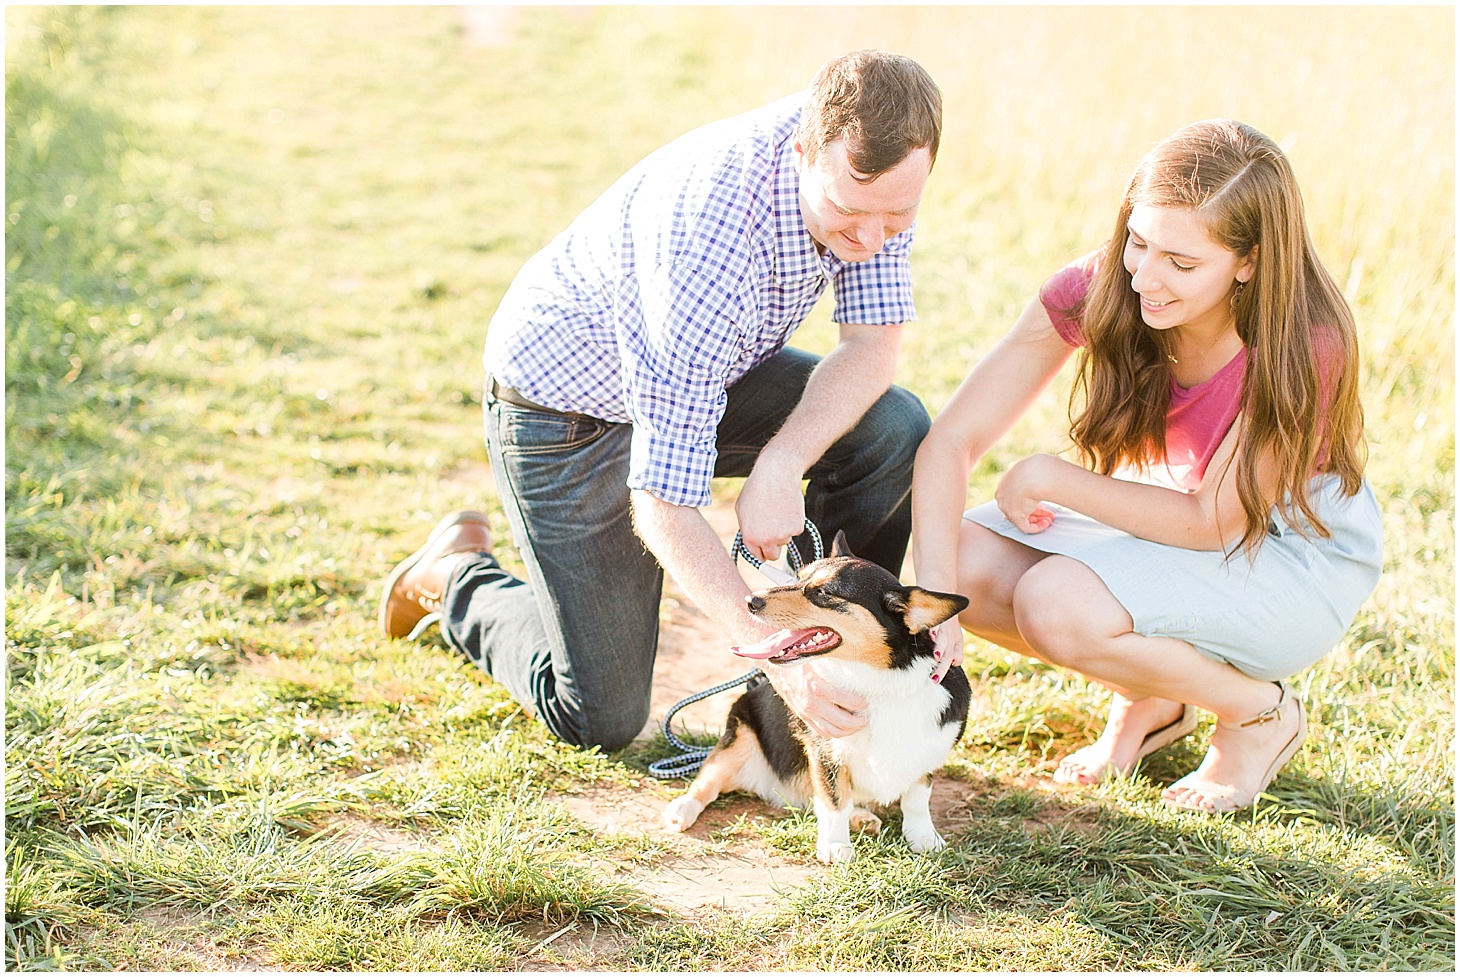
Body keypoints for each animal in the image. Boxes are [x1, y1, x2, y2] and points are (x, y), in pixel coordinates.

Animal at [662, 534, 969, 858]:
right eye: (798, 577)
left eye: (823, 592)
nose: (750, 601)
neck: (879, 683)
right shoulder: (825, 752)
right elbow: (834, 802)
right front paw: (835, 846)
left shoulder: (929, 752)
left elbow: (917, 799)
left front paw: (923, 838)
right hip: (740, 736)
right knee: (710, 777)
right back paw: (682, 808)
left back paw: (861, 818)